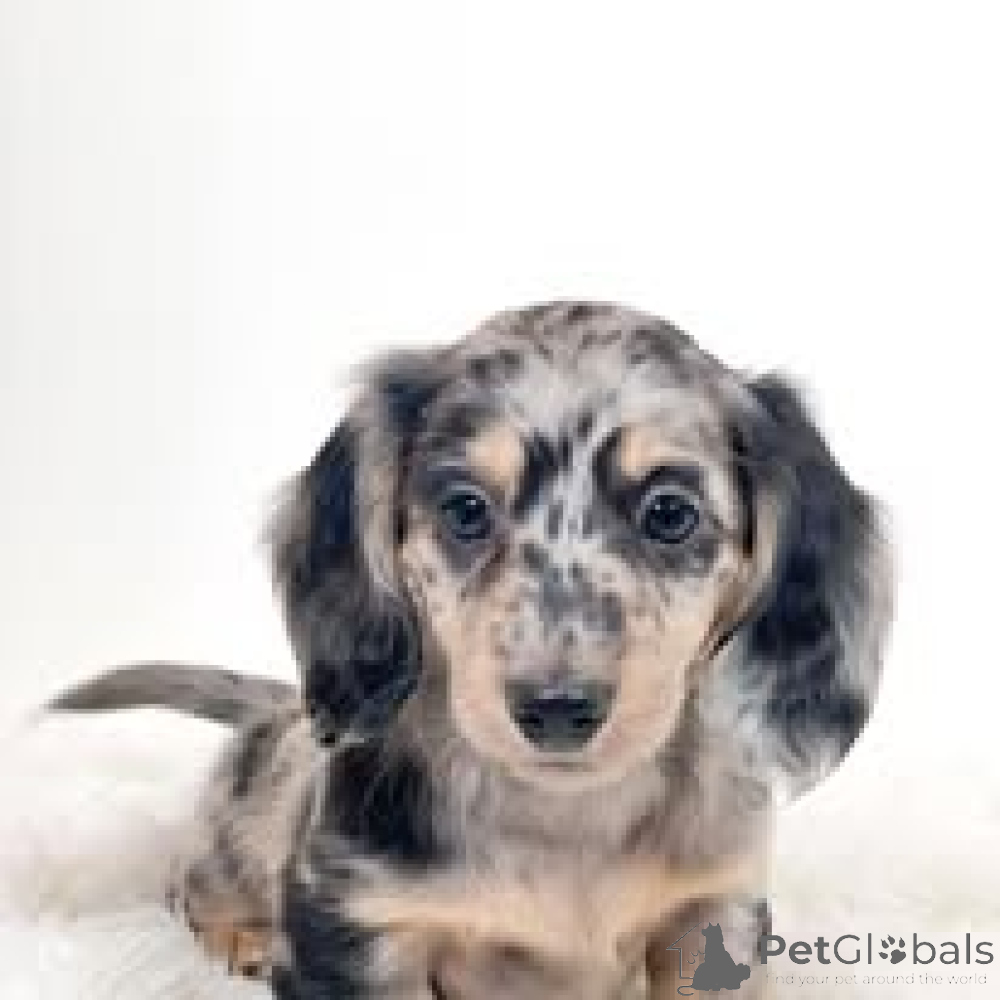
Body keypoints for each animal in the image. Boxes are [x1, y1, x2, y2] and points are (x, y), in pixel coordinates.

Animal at [49, 301, 892, 998]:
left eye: (669, 514)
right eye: (464, 510)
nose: (557, 710)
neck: (564, 823)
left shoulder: (712, 914)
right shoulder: (359, 927)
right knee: (188, 878)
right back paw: (240, 932)